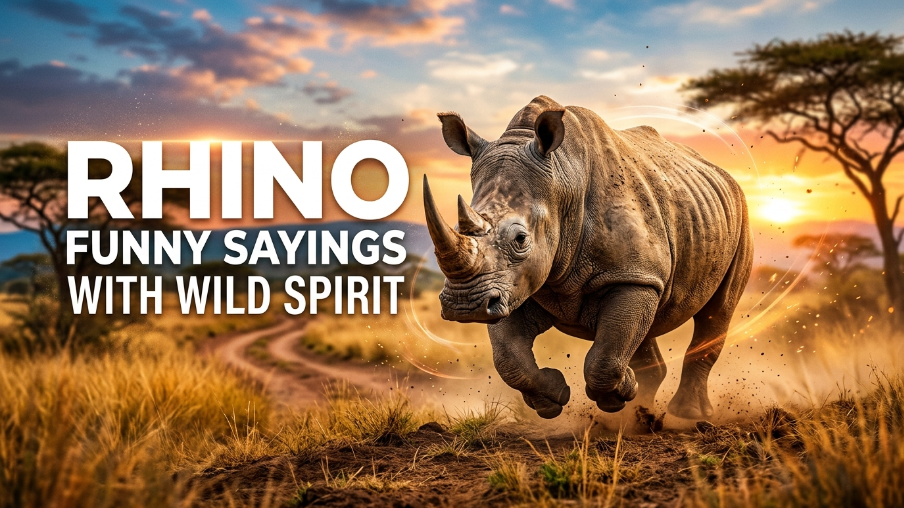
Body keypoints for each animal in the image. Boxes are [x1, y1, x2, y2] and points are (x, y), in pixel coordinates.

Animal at [422, 95, 752, 420]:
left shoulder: (631, 274)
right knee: (648, 322)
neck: (564, 179)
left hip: (739, 217)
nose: (465, 305)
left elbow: (604, 358)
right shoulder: (509, 285)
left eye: (520, 239)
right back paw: (638, 415)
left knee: (718, 311)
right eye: (457, 229)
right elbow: (508, 358)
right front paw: (553, 398)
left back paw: (687, 415)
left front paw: (618, 392)